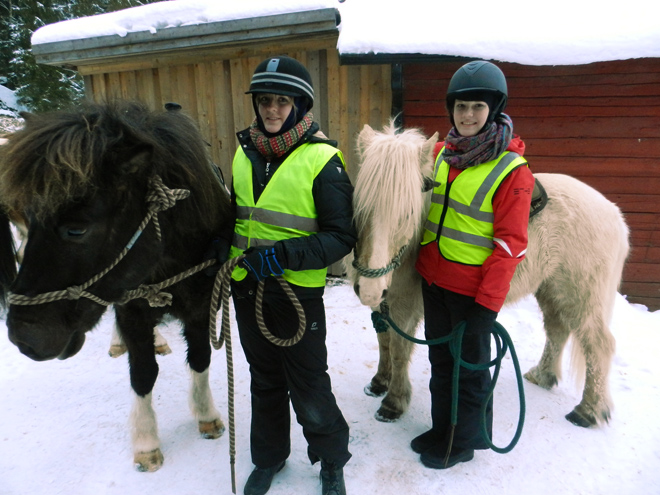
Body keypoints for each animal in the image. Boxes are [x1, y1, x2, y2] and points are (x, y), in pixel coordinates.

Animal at [0, 101, 233, 472]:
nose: (25, 339)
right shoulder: (131, 308)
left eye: (77, 229)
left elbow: (199, 358)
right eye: (30, 220)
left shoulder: (201, 305)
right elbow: (143, 373)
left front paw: (206, 415)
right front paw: (146, 442)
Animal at [346, 122, 628, 428]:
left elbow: (398, 349)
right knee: (557, 330)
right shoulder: (384, 302)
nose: (370, 288)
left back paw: (587, 411)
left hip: (580, 298)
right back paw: (542, 376)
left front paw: (394, 402)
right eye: (359, 206)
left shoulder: (404, 307)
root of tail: (614, 214)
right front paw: (379, 382)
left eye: (407, 213)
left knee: (599, 345)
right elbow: (384, 341)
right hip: (551, 290)